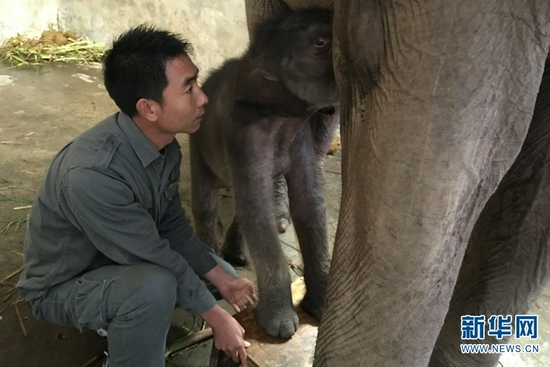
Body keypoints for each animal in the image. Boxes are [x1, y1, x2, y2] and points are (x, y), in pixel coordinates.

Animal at [191, 7, 340, 340]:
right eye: (320, 42)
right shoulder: (242, 132)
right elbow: (257, 211)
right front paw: (280, 329)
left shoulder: (299, 136)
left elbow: (309, 202)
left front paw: (320, 309)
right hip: (197, 142)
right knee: (205, 203)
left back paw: (236, 255)